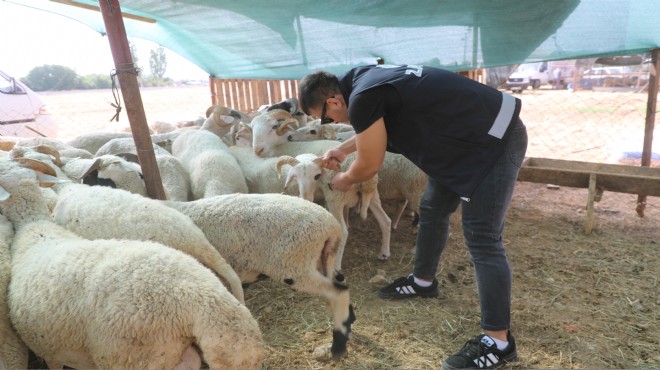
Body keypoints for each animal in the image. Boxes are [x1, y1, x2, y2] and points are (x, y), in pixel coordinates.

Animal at [165, 192, 358, 360]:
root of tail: (331, 227)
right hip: (322, 259)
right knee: (338, 283)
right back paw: (349, 321)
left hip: (294, 264)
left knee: (338, 292)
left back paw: (338, 345)